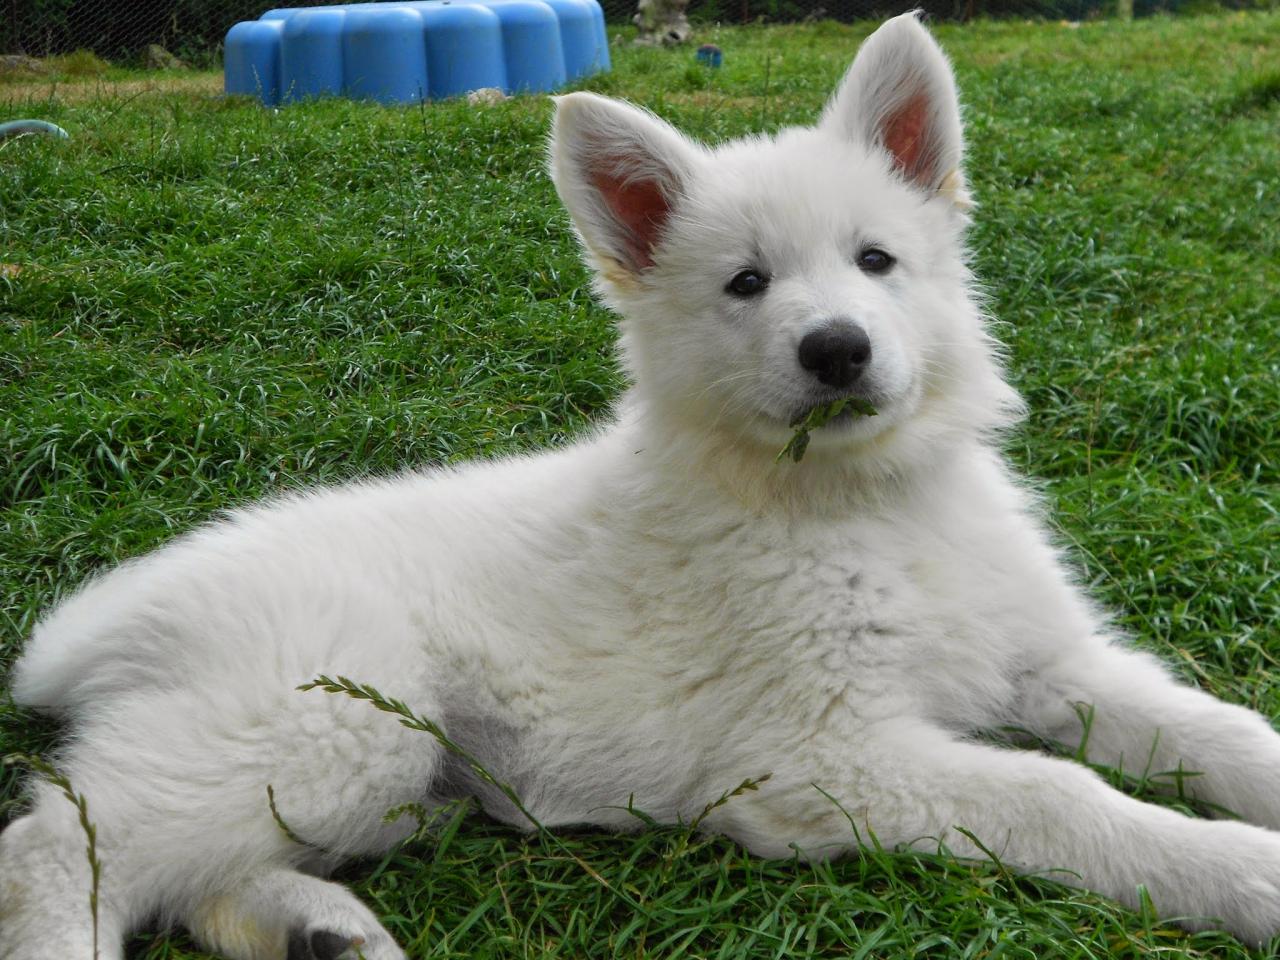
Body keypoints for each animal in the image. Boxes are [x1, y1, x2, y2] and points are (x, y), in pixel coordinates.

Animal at [2, 11, 1280, 957]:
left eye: (874, 261)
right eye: (745, 284)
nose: (835, 350)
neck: (860, 504)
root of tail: (115, 610)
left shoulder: (1050, 661)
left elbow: (1210, 728)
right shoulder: (822, 757)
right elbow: (1061, 797)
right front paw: (1240, 872)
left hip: (376, 773)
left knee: (185, 872)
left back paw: (320, 930)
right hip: (324, 726)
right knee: (59, 845)